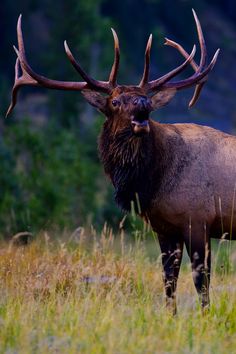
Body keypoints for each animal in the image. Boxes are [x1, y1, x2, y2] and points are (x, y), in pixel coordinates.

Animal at [7, 9, 234, 312]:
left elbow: (202, 284)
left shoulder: (198, 220)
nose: (143, 105)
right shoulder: (165, 228)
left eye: (146, 97)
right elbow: (169, 281)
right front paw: (170, 317)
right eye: (114, 101)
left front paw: (205, 318)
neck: (152, 182)